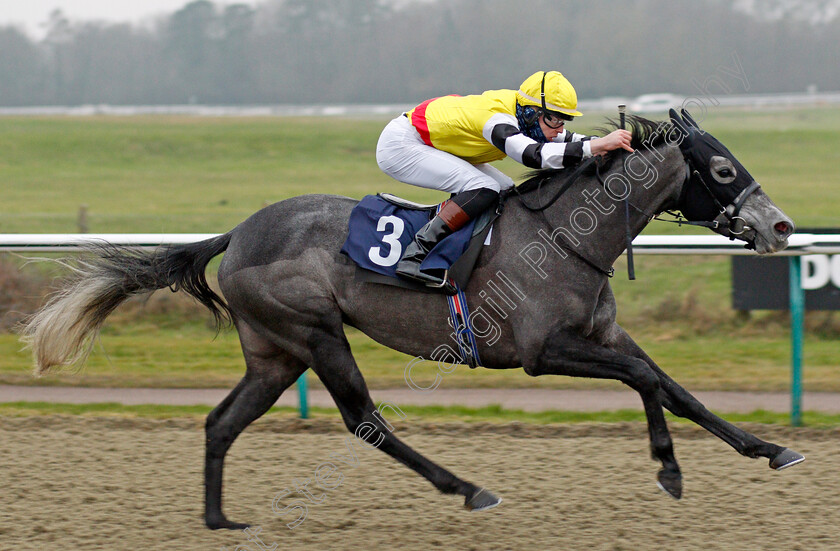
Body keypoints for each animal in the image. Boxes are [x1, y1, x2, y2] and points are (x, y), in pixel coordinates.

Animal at [23, 109, 804, 532]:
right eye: (724, 172)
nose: (782, 226)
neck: (567, 236)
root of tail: (238, 233)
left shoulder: (601, 335)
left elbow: (672, 385)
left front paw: (767, 448)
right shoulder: (542, 350)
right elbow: (643, 377)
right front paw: (669, 468)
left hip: (275, 352)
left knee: (221, 421)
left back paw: (219, 519)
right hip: (315, 332)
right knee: (365, 420)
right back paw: (469, 488)